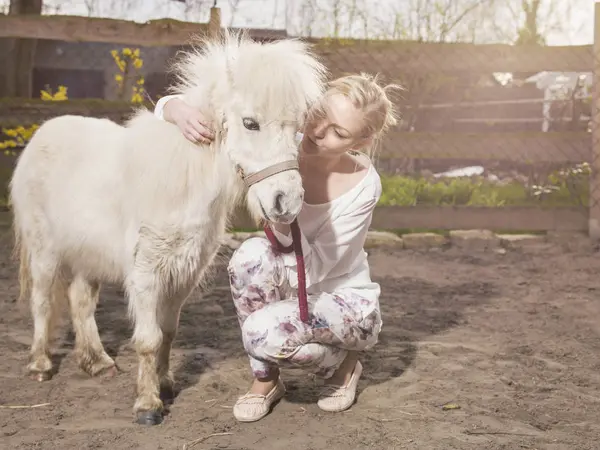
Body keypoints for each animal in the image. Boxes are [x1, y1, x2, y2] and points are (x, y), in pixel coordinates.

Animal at [8, 31, 328, 426]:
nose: (287, 201)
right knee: (42, 301)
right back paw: (40, 364)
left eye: (297, 128)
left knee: (80, 301)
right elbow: (148, 339)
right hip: (45, 251)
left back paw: (97, 362)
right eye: (250, 123)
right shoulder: (146, 272)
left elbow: (168, 333)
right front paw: (148, 406)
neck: (183, 180)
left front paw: (165, 385)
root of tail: (41, 135)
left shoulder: (184, 272)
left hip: (88, 256)